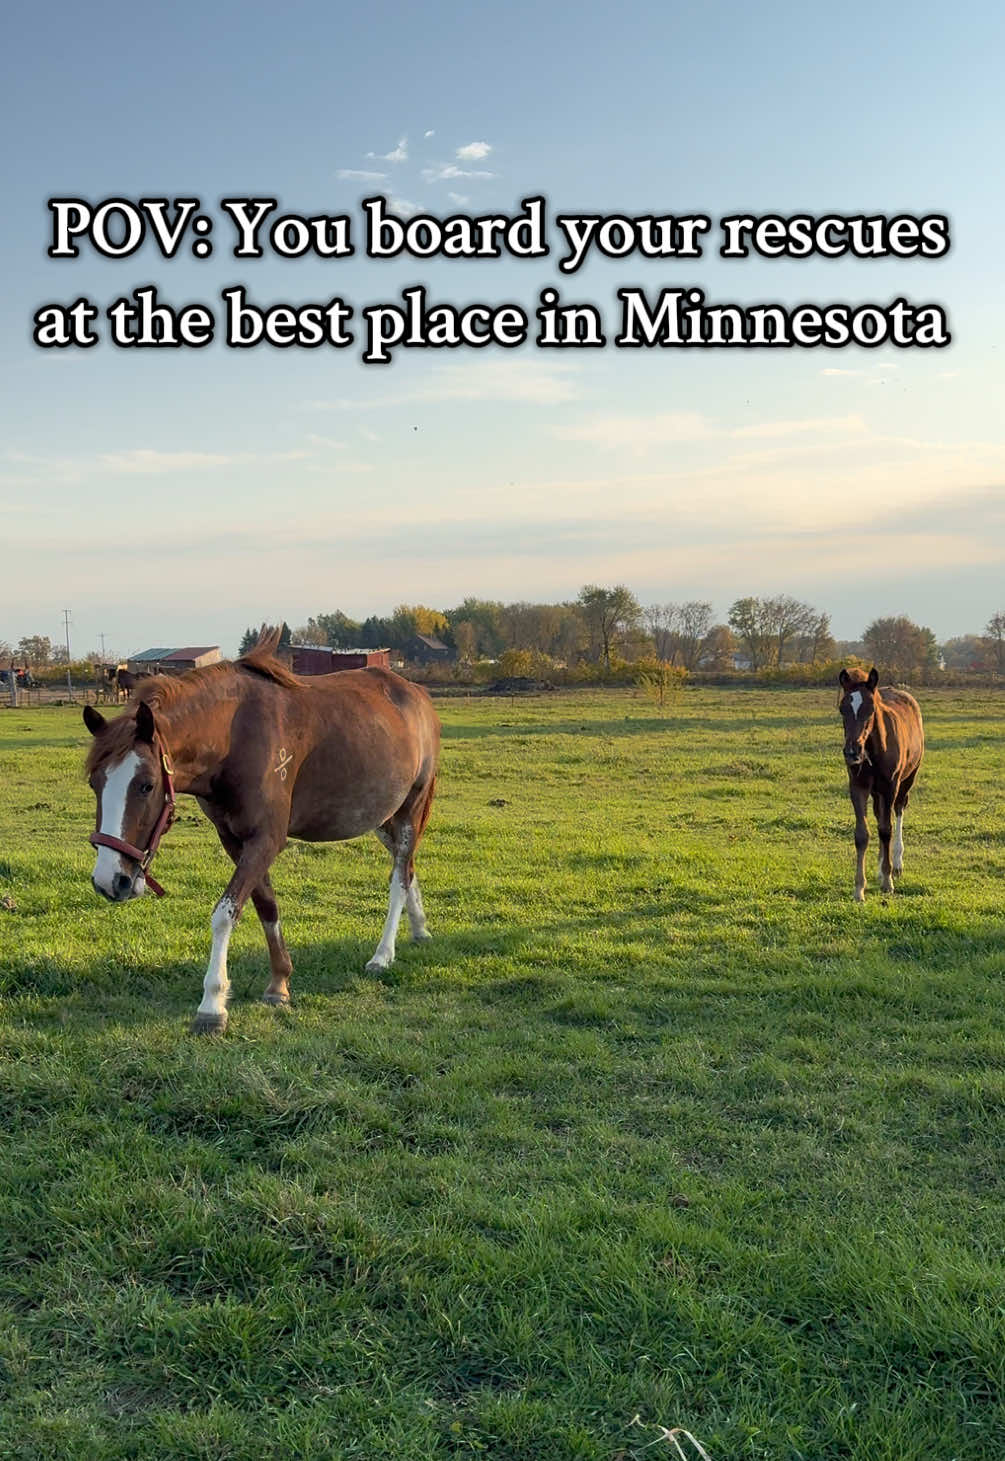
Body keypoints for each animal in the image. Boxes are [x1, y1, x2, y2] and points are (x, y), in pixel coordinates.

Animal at [82, 627, 440, 1033]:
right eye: (94, 782)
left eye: (146, 785)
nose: (110, 881)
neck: (235, 739)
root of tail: (416, 694)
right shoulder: (234, 840)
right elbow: (265, 905)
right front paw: (279, 982)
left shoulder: (267, 839)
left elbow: (225, 913)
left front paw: (212, 1004)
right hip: (382, 818)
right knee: (408, 869)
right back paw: (419, 928)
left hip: (411, 809)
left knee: (399, 877)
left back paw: (383, 954)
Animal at [837, 666, 924, 902]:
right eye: (842, 709)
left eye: (871, 709)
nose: (852, 752)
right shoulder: (858, 786)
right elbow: (862, 834)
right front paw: (859, 888)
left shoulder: (890, 786)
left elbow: (886, 830)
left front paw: (888, 881)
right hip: (876, 792)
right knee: (878, 816)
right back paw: (880, 866)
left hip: (907, 780)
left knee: (898, 810)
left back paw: (896, 864)